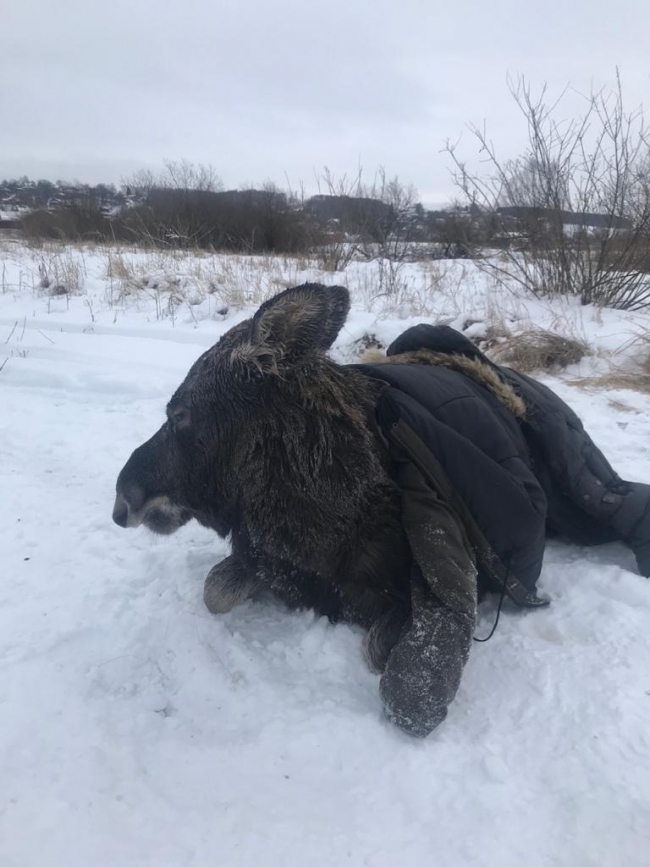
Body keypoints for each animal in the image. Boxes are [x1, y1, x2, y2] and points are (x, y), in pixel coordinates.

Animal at [114, 282, 648, 736]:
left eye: (180, 415)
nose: (122, 503)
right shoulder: (266, 559)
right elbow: (215, 590)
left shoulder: (450, 585)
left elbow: (394, 675)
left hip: (577, 487)